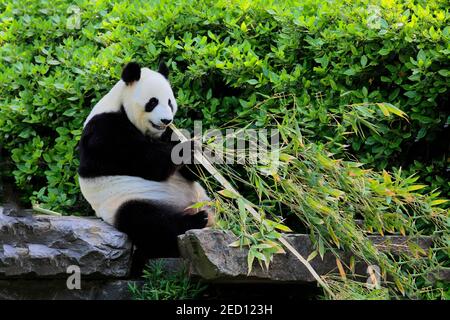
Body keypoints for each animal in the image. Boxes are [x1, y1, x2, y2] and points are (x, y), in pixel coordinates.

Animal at [78, 61, 214, 268]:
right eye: (153, 102)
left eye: (170, 102)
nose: (166, 120)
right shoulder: (104, 132)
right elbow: (149, 161)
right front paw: (188, 146)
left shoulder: (166, 133)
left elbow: (192, 173)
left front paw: (202, 150)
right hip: (126, 200)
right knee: (147, 221)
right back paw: (196, 221)